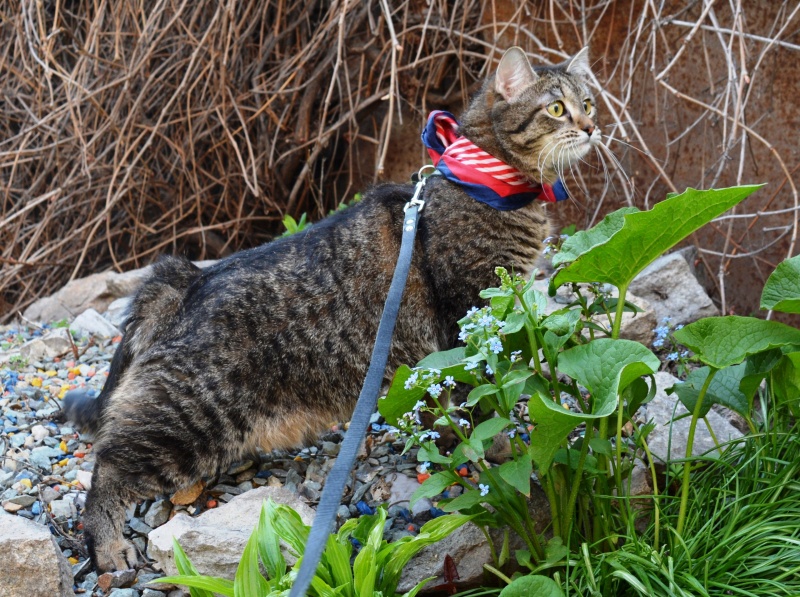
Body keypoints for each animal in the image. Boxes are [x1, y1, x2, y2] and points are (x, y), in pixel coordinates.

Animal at [62, 45, 601, 571]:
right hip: (188, 420)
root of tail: (190, 278)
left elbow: (453, 402)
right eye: (557, 109)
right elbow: (483, 401)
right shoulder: (468, 321)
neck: (488, 183)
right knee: (110, 468)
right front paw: (498, 449)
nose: (592, 126)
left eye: (588, 103)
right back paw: (107, 547)